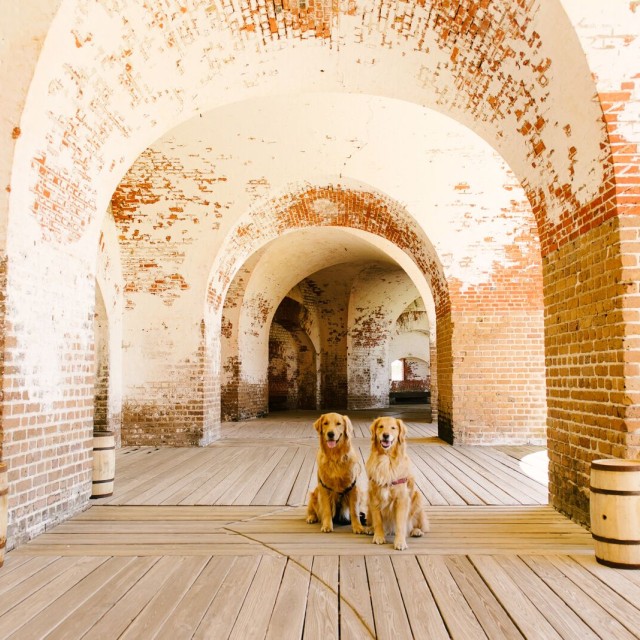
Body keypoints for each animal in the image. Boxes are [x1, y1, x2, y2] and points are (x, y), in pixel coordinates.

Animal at [364, 416, 430, 552]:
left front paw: (400, 542)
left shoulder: (401, 499)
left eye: (393, 428)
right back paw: (370, 529)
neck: (386, 459)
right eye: (381, 426)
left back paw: (416, 531)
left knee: (416, 524)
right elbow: (378, 520)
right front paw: (378, 536)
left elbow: (400, 524)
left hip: (418, 499)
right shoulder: (374, 497)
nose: (386, 435)